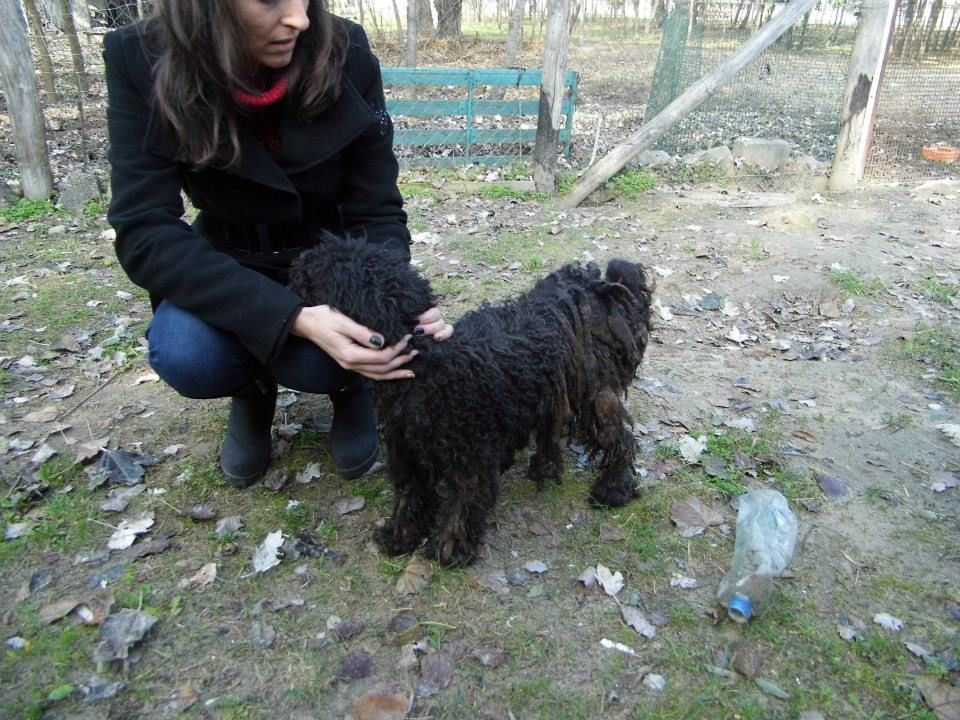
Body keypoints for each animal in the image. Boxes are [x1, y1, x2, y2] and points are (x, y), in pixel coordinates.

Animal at [290, 236, 652, 566]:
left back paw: (614, 487)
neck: (428, 366)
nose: (297, 261)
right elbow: (411, 494)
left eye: (321, 268)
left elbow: (465, 504)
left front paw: (449, 548)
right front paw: (400, 536)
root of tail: (598, 285)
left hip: (593, 393)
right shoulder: (406, 450)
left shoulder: (470, 457)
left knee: (618, 437)